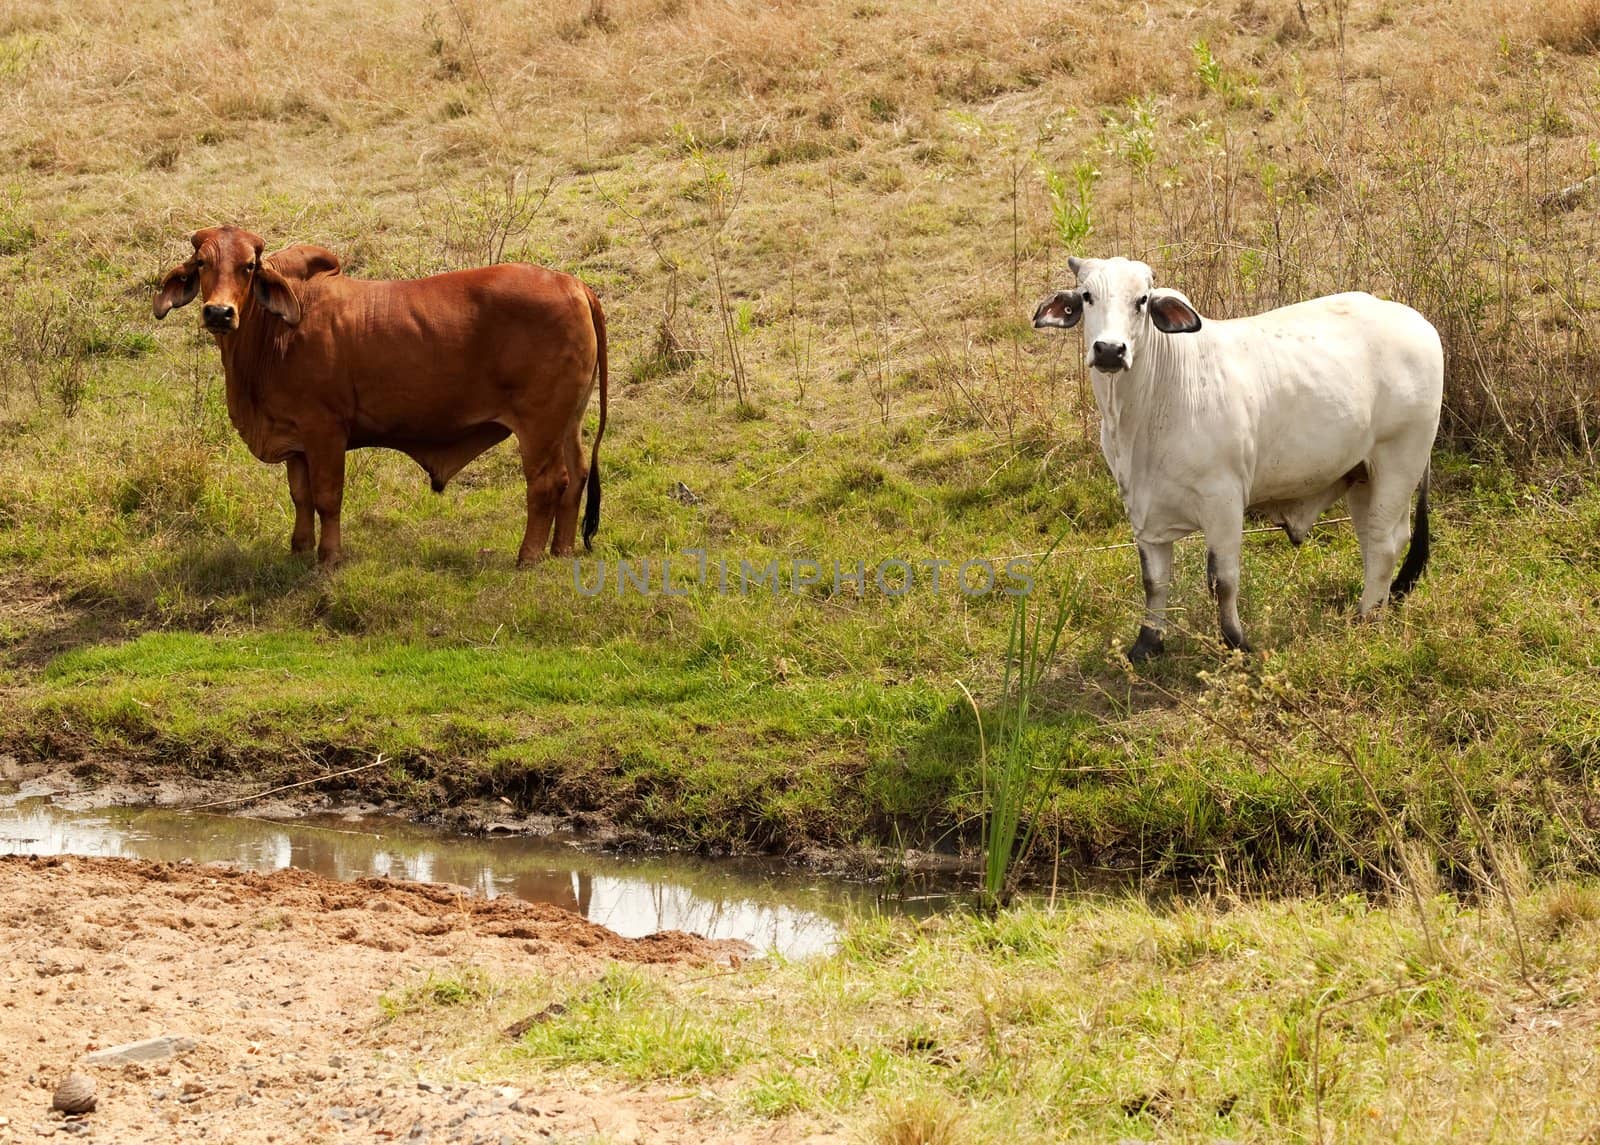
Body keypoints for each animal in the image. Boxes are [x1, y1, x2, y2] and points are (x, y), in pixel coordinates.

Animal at [154, 225, 604, 566]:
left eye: (248, 267)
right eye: (202, 264)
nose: (219, 313)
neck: (276, 333)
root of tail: (573, 283)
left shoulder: (325, 431)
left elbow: (327, 497)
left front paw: (329, 557)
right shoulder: (296, 438)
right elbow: (300, 497)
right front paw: (299, 550)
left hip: (539, 423)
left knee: (547, 483)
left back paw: (528, 556)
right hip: (568, 421)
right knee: (577, 475)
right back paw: (561, 551)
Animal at [1030, 254, 1446, 658]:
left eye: (1142, 300)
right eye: (1087, 296)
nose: (1110, 350)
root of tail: (1416, 320)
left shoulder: (1224, 501)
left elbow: (1223, 580)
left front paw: (1235, 641)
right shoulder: (1142, 509)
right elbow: (1154, 580)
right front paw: (1147, 644)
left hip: (1398, 461)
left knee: (1385, 542)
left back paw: (1364, 618)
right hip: (1362, 475)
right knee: (1373, 541)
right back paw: (1372, 608)